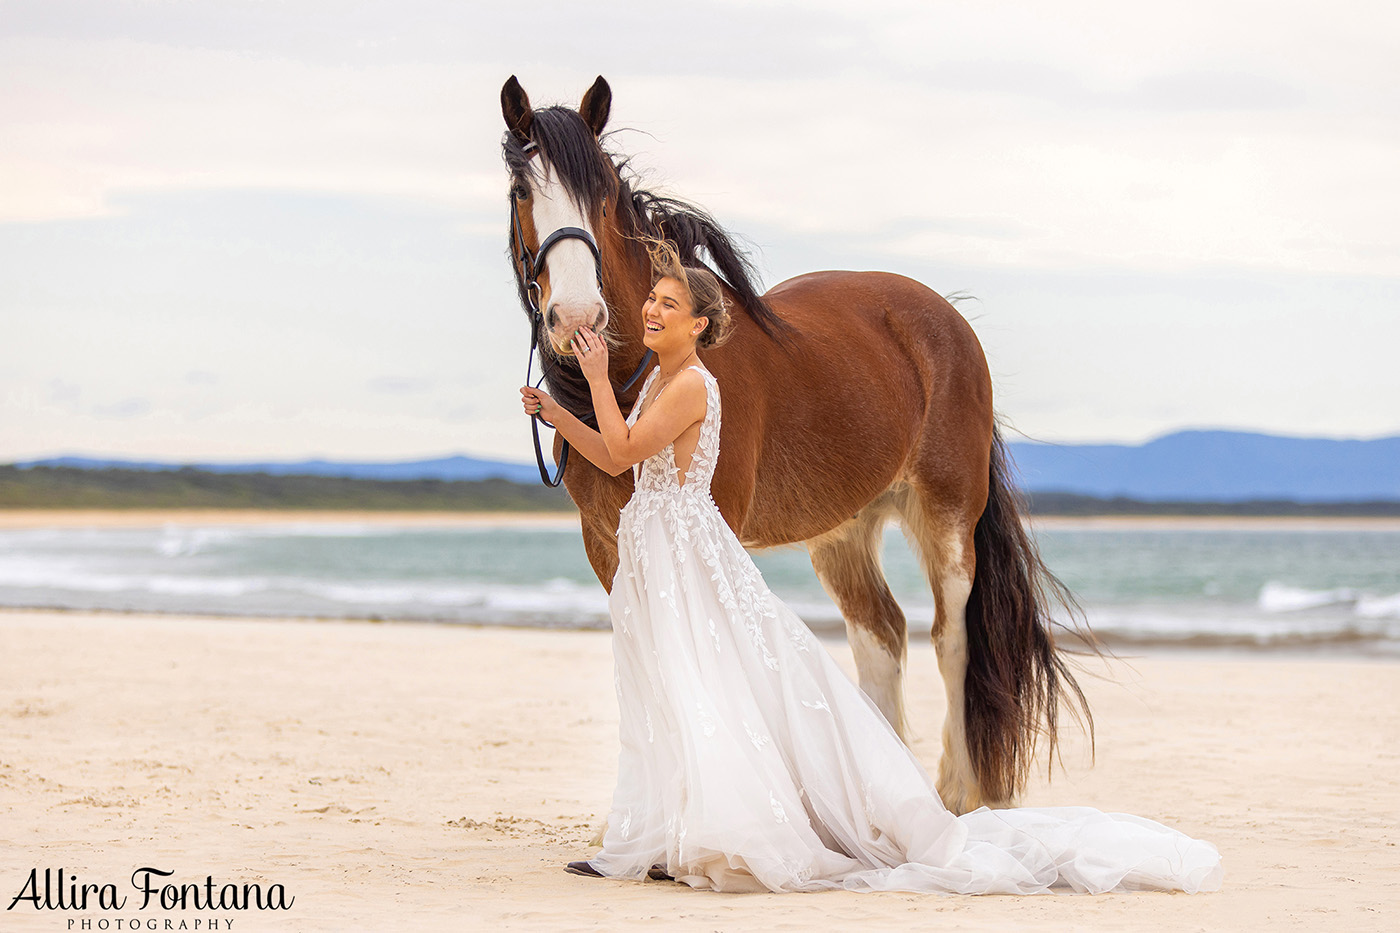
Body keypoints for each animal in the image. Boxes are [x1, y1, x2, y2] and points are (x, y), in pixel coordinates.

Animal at [498, 74, 1086, 812]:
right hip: (843, 530)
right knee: (880, 637)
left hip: (948, 514)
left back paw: (959, 792)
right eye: (523, 191)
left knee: (951, 638)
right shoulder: (606, 543)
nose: (578, 319)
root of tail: (944, 317)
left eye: (601, 195)